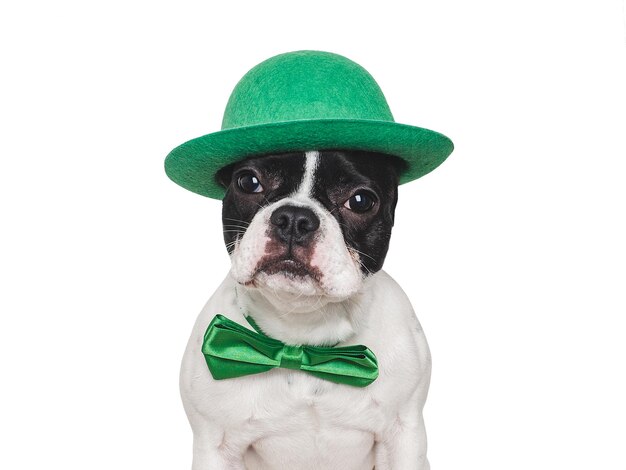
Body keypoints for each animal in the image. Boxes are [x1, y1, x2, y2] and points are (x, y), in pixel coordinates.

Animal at [178, 149, 432, 468]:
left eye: (361, 201)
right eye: (248, 182)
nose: (294, 218)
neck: (302, 335)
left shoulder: (402, 438)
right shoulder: (216, 446)